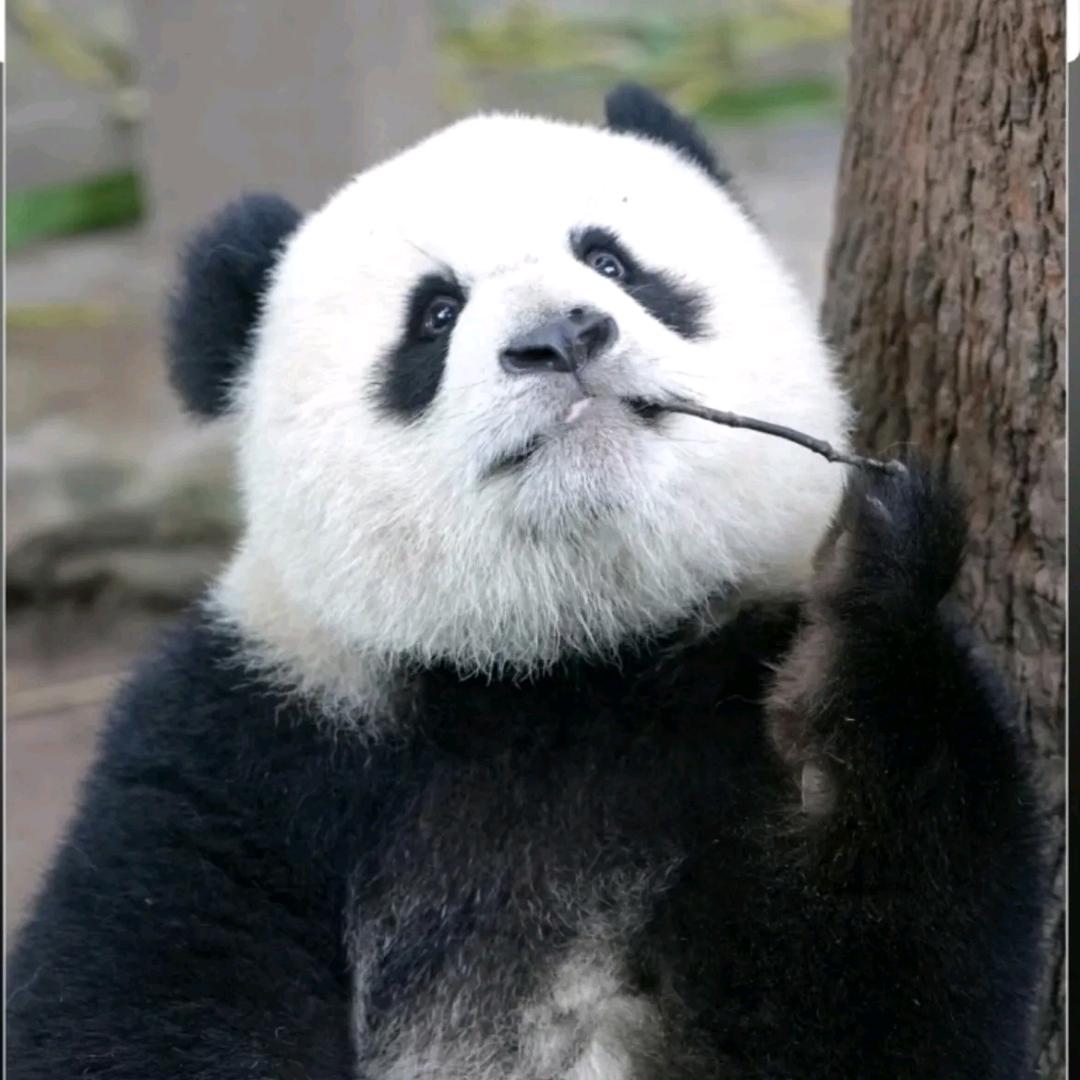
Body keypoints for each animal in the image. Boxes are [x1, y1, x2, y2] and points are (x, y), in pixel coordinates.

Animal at [7, 85, 1047, 1079]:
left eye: (613, 261)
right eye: (435, 314)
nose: (562, 335)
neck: (565, 661)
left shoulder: (727, 692)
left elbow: (897, 993)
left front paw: (848, 650)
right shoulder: (249, 744)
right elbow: (130, 999)